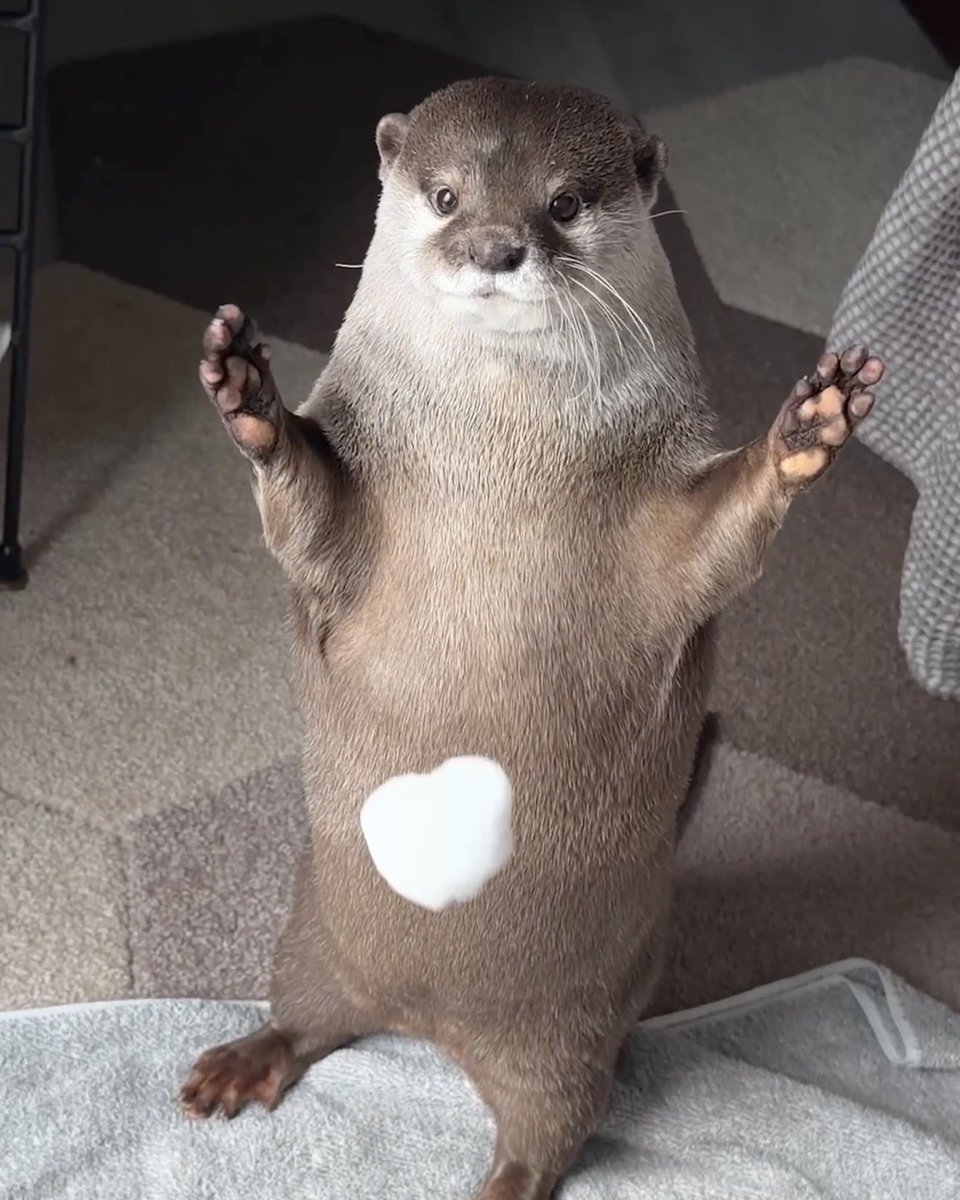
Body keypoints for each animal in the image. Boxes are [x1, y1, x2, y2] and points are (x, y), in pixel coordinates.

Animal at [179, 77, 882, 1200]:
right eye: (446, 194)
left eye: (563, 203)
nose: (495, 245)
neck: (497, 454)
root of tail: (428, 1019)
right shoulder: (349, 509)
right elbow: (306, 518)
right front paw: (248, 394)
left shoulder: (667, 526)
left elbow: (718, 539)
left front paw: (809, 426)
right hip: (309, 929)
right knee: (304, 1013)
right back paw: (247, 1059)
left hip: (570, 1031)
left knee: (551, 1131)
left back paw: (501, 1181)